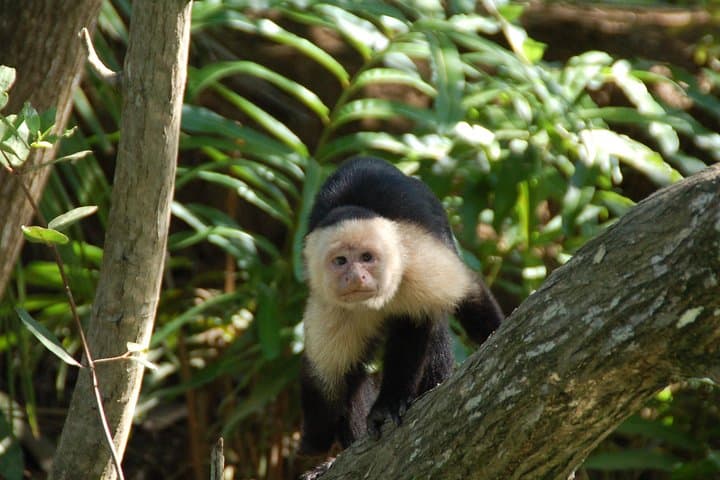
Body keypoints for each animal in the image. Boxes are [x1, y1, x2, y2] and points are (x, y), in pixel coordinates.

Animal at [298, 156, 503, 455]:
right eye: (340, 261)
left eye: (367, 257)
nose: (355, 276)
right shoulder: (328, 307)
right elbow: (329, 379)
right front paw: (315, 444)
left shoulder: (416, 261)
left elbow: (465, 293)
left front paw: (388, 405)